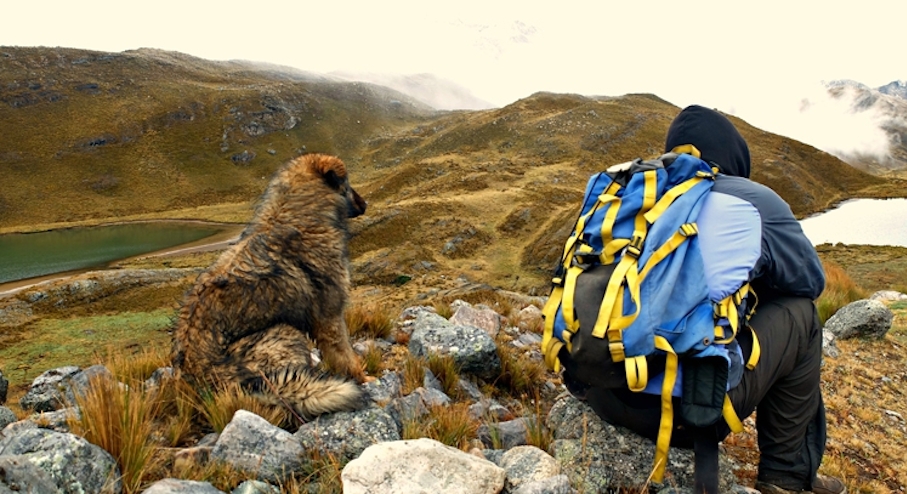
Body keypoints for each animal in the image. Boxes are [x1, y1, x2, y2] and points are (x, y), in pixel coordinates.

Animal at [170, 153, 368, 416]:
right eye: (348, 184)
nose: (365, 204)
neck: (298, 215)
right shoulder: (329, 315)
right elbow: (344, 353)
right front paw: (363, 377)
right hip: (283, 334)